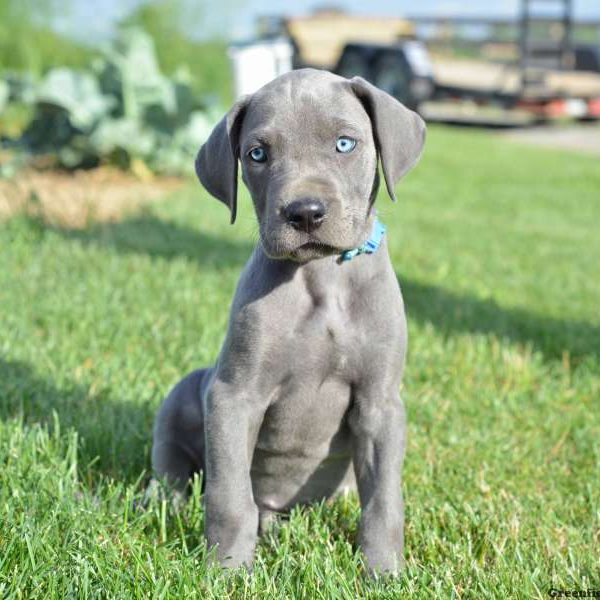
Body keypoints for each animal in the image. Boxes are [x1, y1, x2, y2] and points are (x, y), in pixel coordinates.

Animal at [151, 68, 422, 576]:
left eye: (344, 144)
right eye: (257, 154)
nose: (305, 212)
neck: (320, 278)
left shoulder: (380, 402)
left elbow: (383, 500)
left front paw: (383, 572)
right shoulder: (233, 395)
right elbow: (230, 497)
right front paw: (227, 571)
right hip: (185, 391)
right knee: (177, 472)